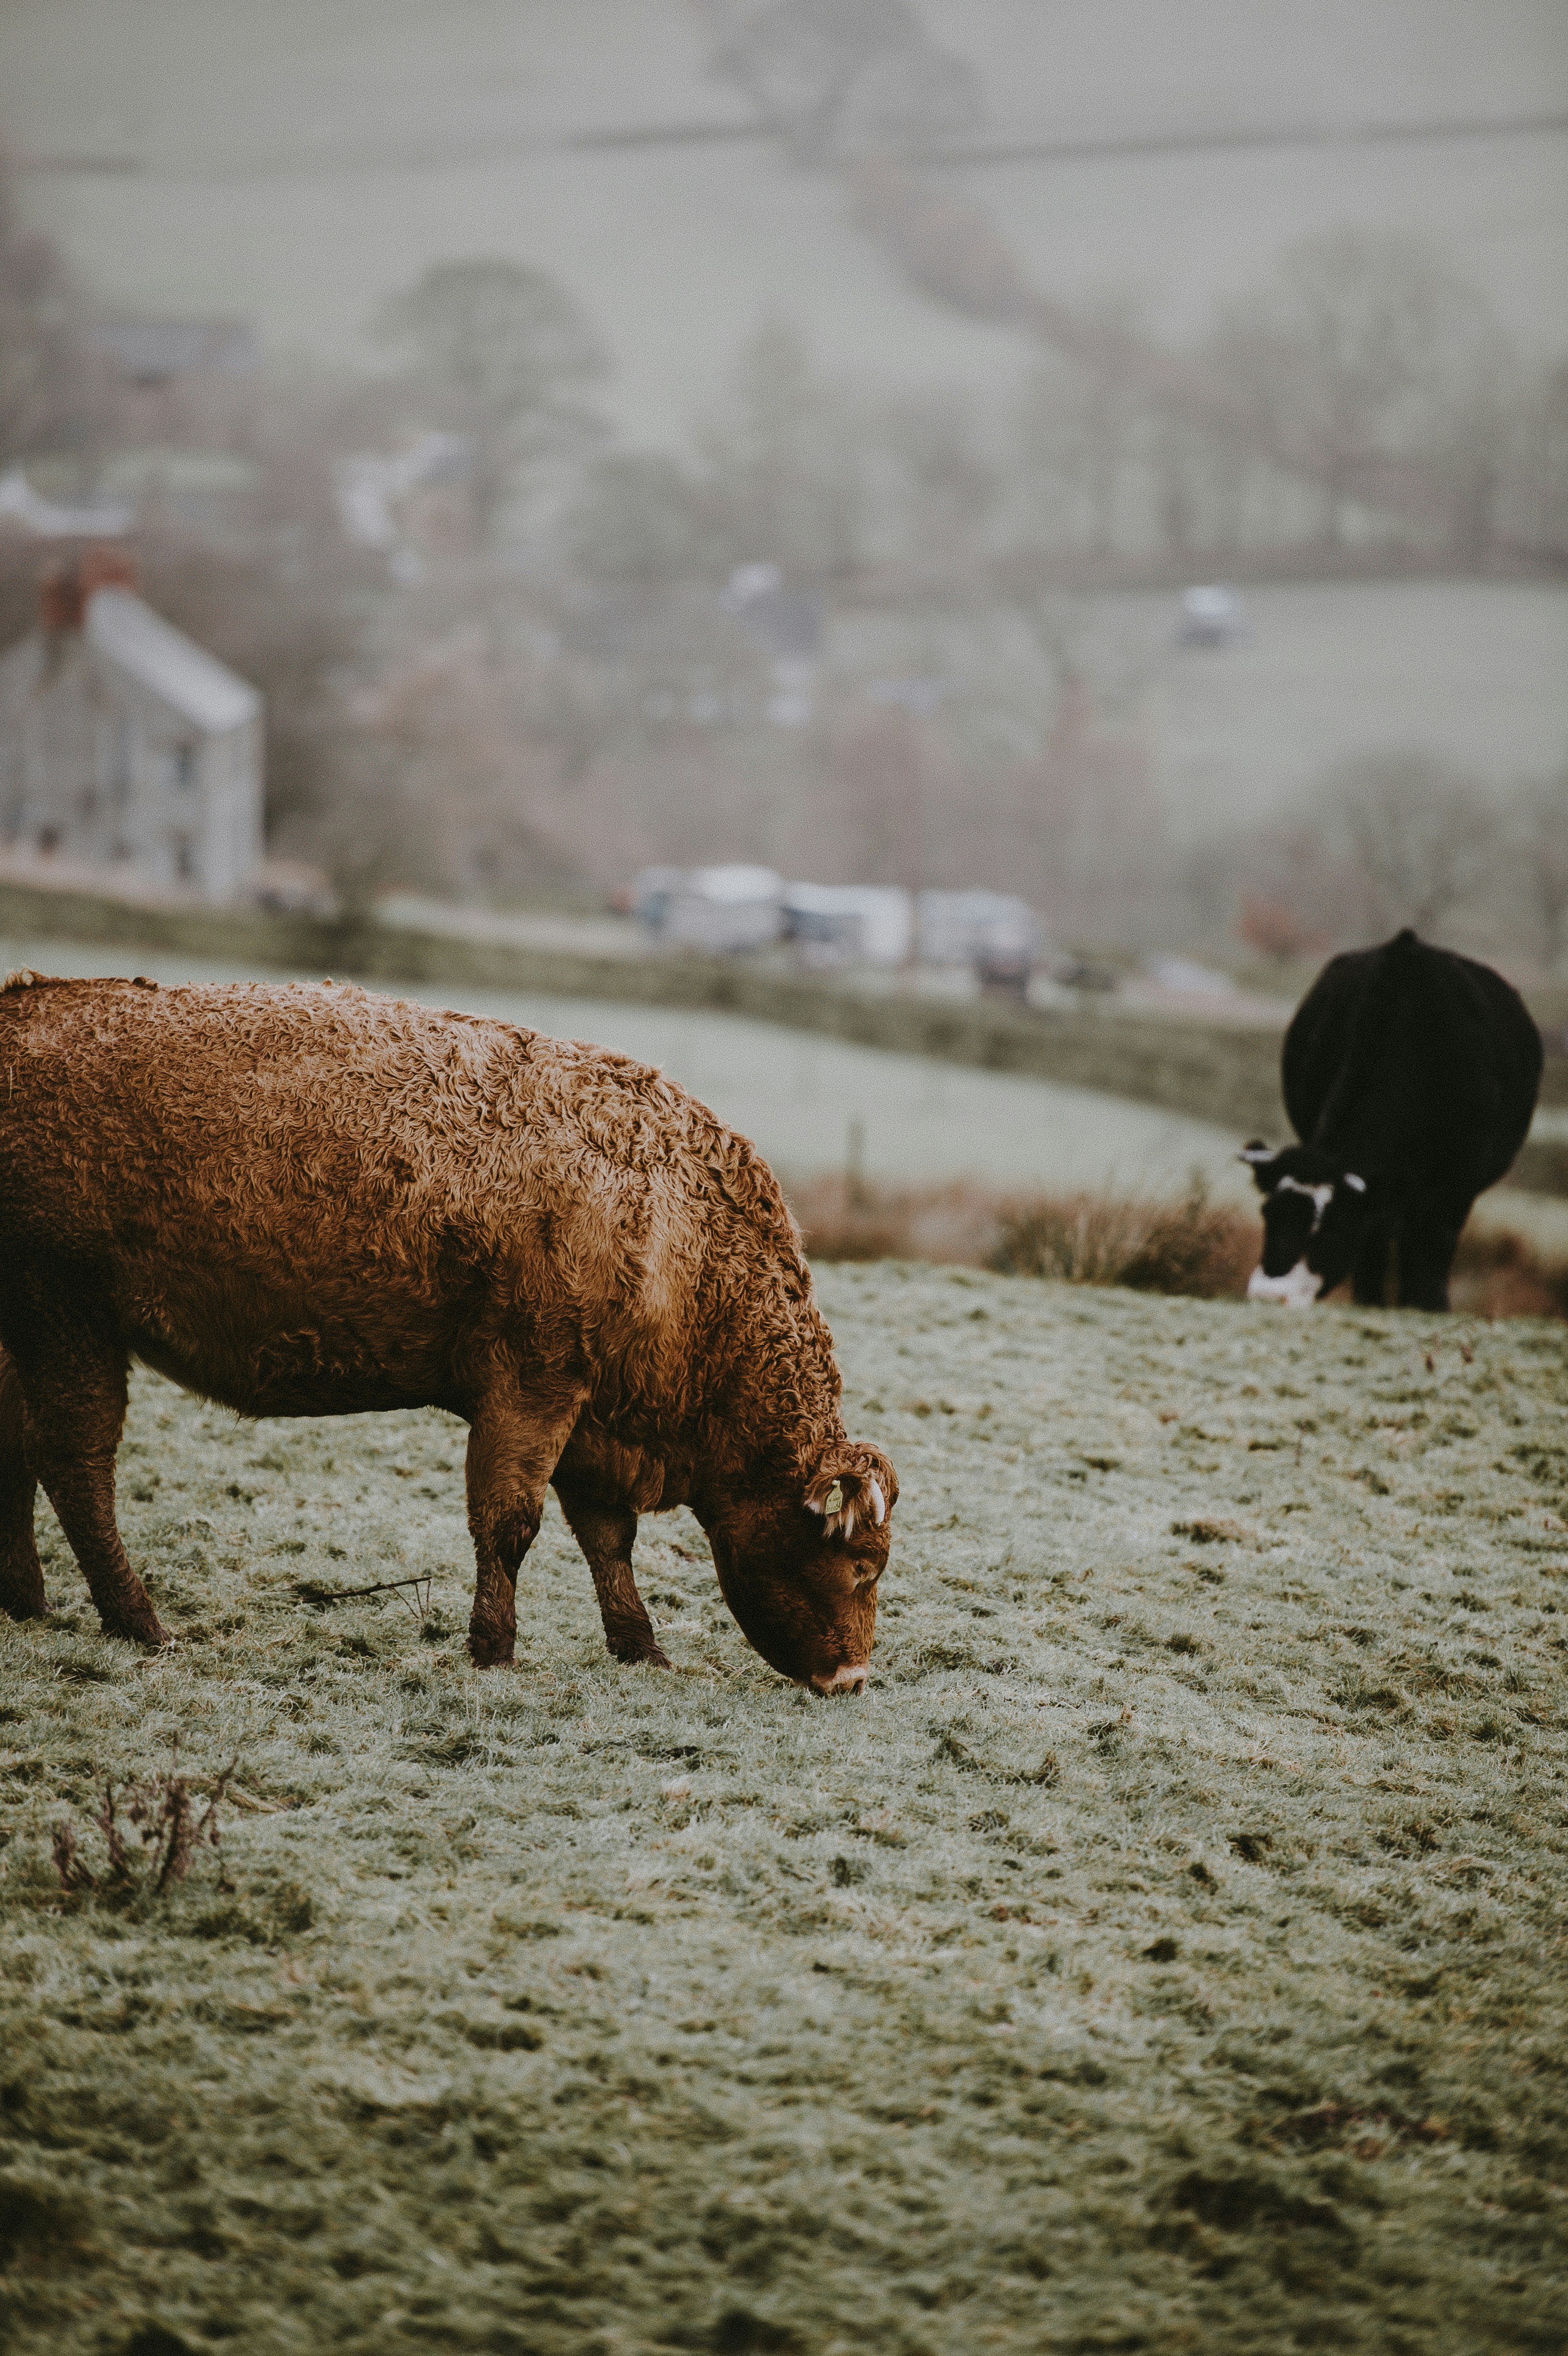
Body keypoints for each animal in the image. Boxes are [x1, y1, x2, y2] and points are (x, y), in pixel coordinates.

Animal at [0, 972, 897, 1692]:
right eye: (861, 1563)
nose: (852, 1677)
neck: (672, 1223)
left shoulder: (590, 1422)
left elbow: (608, 1541)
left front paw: (639, 1647)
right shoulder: (532, 1389)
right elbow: (509, 1523)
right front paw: (493, 1649)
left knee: (20, 1448)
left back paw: (27, 1601)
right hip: (66, 1318)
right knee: (77, 1463)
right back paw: (138, 1622)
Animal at [1241, 929, 1542, 1310]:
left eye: (1329, 1227)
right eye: (1268, 1213)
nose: (1269, 1296)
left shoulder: (1459, 1183)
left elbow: (1437, 1244)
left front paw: (1429, 1304)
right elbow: (1374, 1241)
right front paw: (1370, 1300)